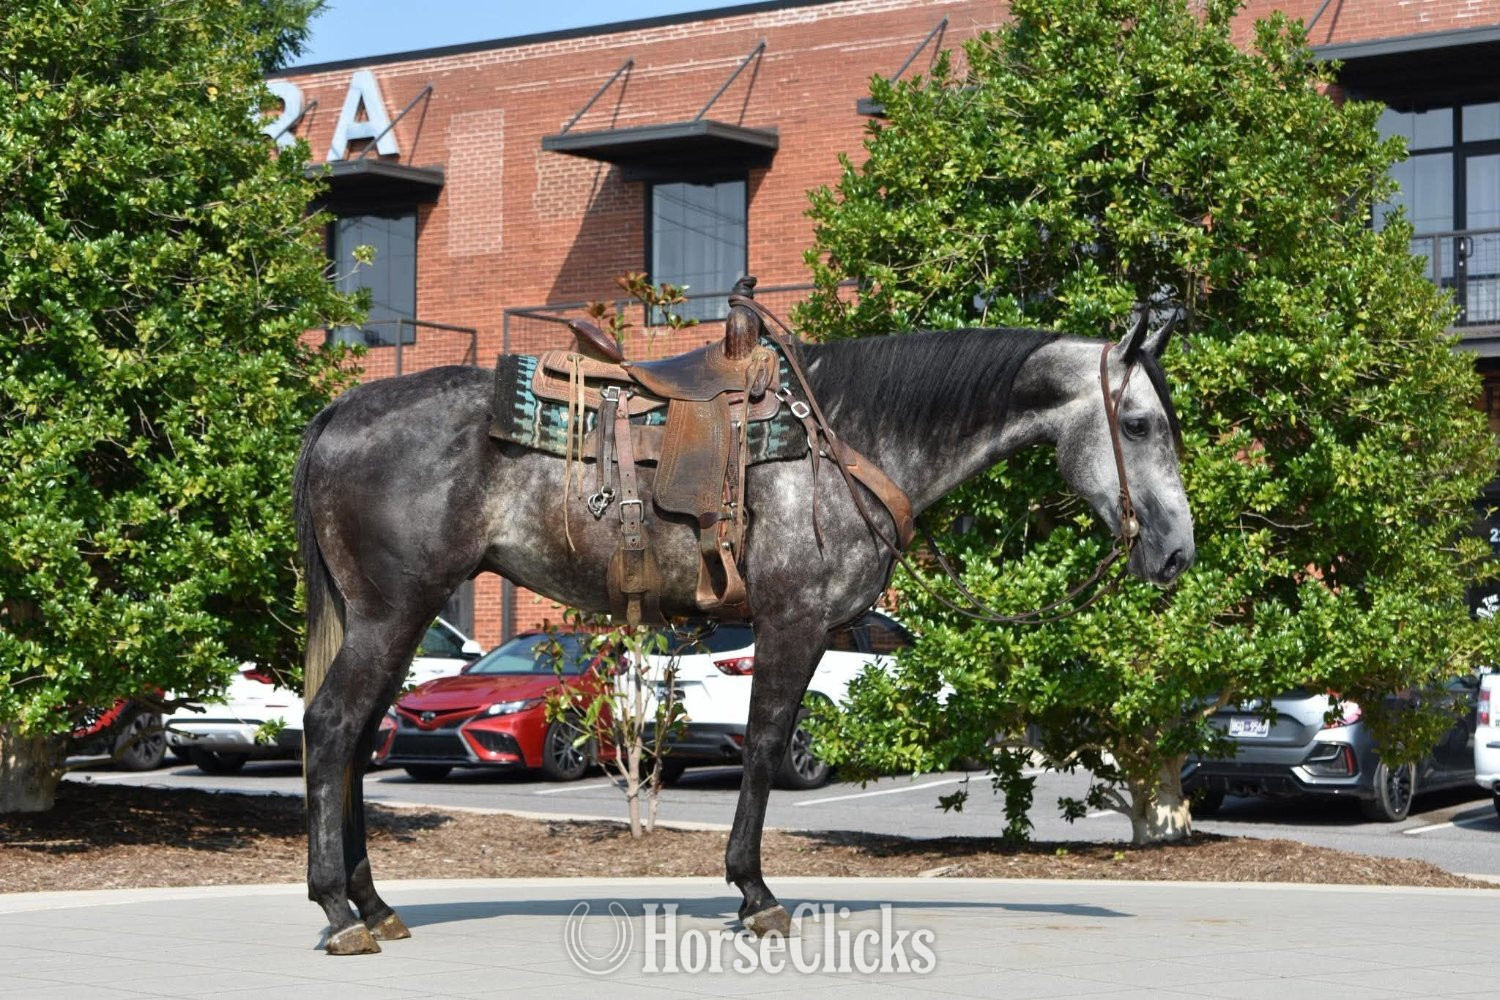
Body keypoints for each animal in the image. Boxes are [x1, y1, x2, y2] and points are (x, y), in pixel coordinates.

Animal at [292, 309, 1194, 954]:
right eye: (1140, 425)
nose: (1177, 551)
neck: (846, 444)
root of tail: (344, 408)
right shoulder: (793, 622)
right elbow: (763, 746)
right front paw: (755, 896)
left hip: (394, 618)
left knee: (359, 737)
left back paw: (374, 904)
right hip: (392, 613)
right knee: (333, 728)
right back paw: (339, 911)